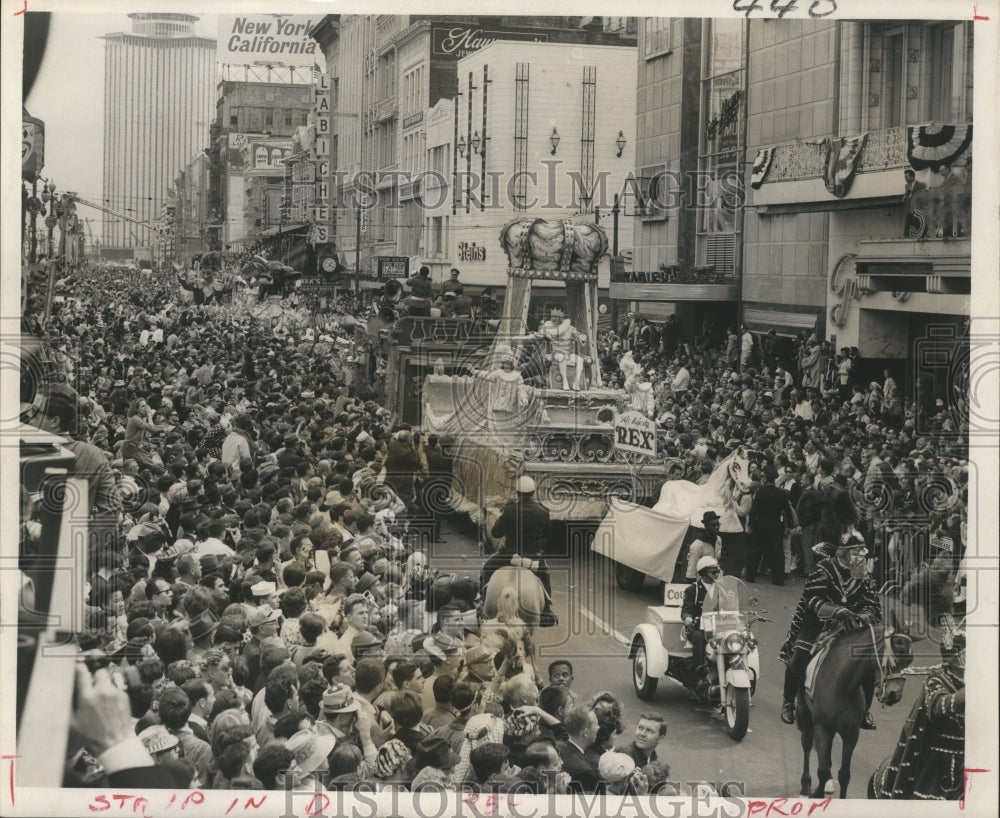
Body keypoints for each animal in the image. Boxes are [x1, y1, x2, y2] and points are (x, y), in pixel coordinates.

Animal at [796, 620, 916, 792]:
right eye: (893, 655)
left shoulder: (851, 734)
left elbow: (844, 775)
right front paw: (816, 791)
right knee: (806, 744)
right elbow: (822, 770)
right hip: (805, 712)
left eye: (910, 659)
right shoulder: (822, 729)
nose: (894, 694)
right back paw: (806, 784)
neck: (842, 685)